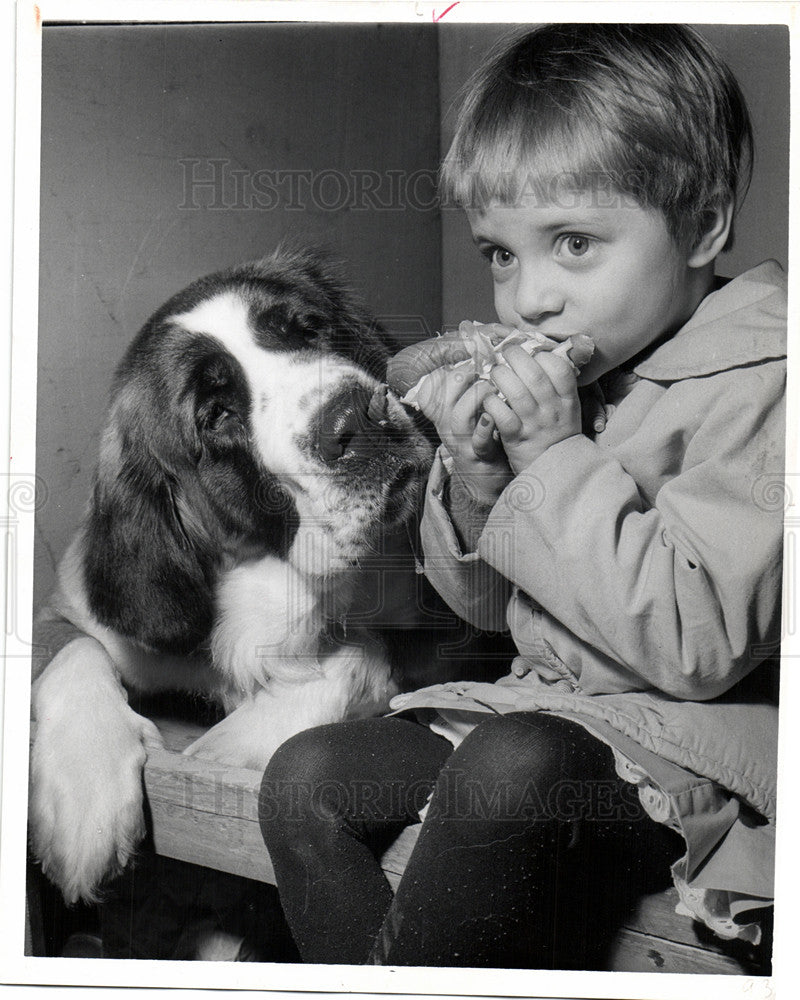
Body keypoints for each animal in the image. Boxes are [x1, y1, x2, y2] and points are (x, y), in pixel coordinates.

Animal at [31, 248, 510, 908]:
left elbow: (361, 651)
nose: (357, 417)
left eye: (308, 329)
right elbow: (73, 647)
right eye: (216, 416)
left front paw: (230, 744)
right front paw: (85, 790)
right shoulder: (68, 608)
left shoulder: (454, 639)